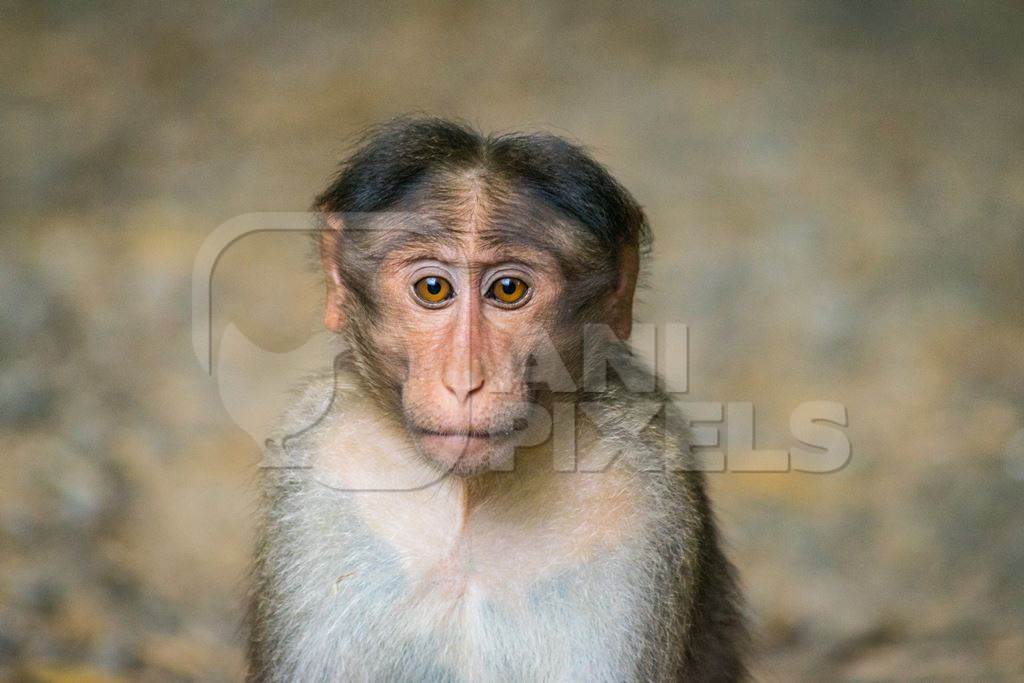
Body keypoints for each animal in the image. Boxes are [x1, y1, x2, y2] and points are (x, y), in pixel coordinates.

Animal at [245, 117, 745, 679]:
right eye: (434, 288)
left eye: (507, 289)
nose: (465, 379)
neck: (469, 507)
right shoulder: (325, 457)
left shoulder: (642, 490)